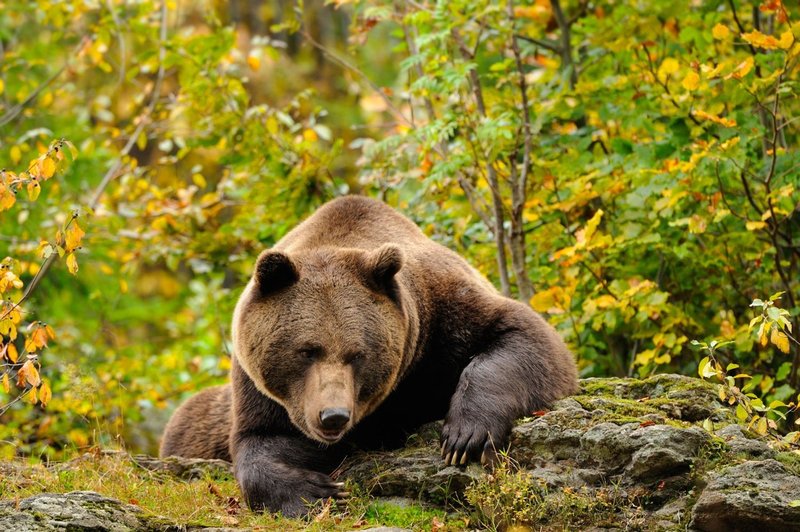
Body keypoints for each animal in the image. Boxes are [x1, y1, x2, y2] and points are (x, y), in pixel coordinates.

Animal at [161, 195, 576, 516]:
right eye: (307, 350)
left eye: (357, 354)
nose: (332, 416)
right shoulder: (257, 386)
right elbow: (262, 441)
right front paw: (316, 492)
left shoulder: (441, 317)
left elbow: (524, 337)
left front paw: (464, 436)